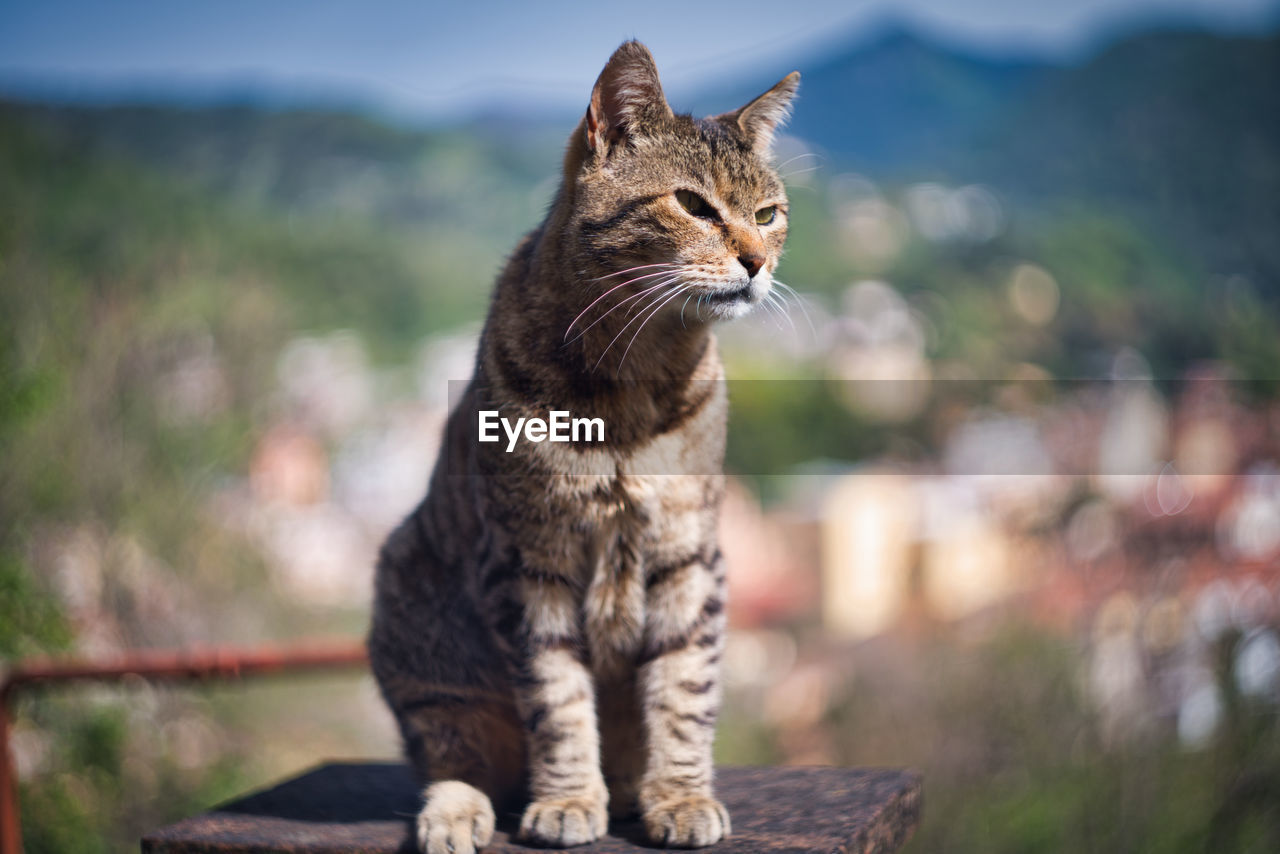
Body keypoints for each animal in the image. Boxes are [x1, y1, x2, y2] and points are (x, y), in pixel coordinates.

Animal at [366, 41, 793, 854]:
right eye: (694, 205)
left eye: (768, 214)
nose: (758, 261)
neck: (634, 377)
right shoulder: (529, 561)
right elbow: (557, 699)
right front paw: (566, 798)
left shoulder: (689, 554)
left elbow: (683, 691)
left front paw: (679, 795)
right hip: (417, 613)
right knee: (455, 754)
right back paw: (458, 810)